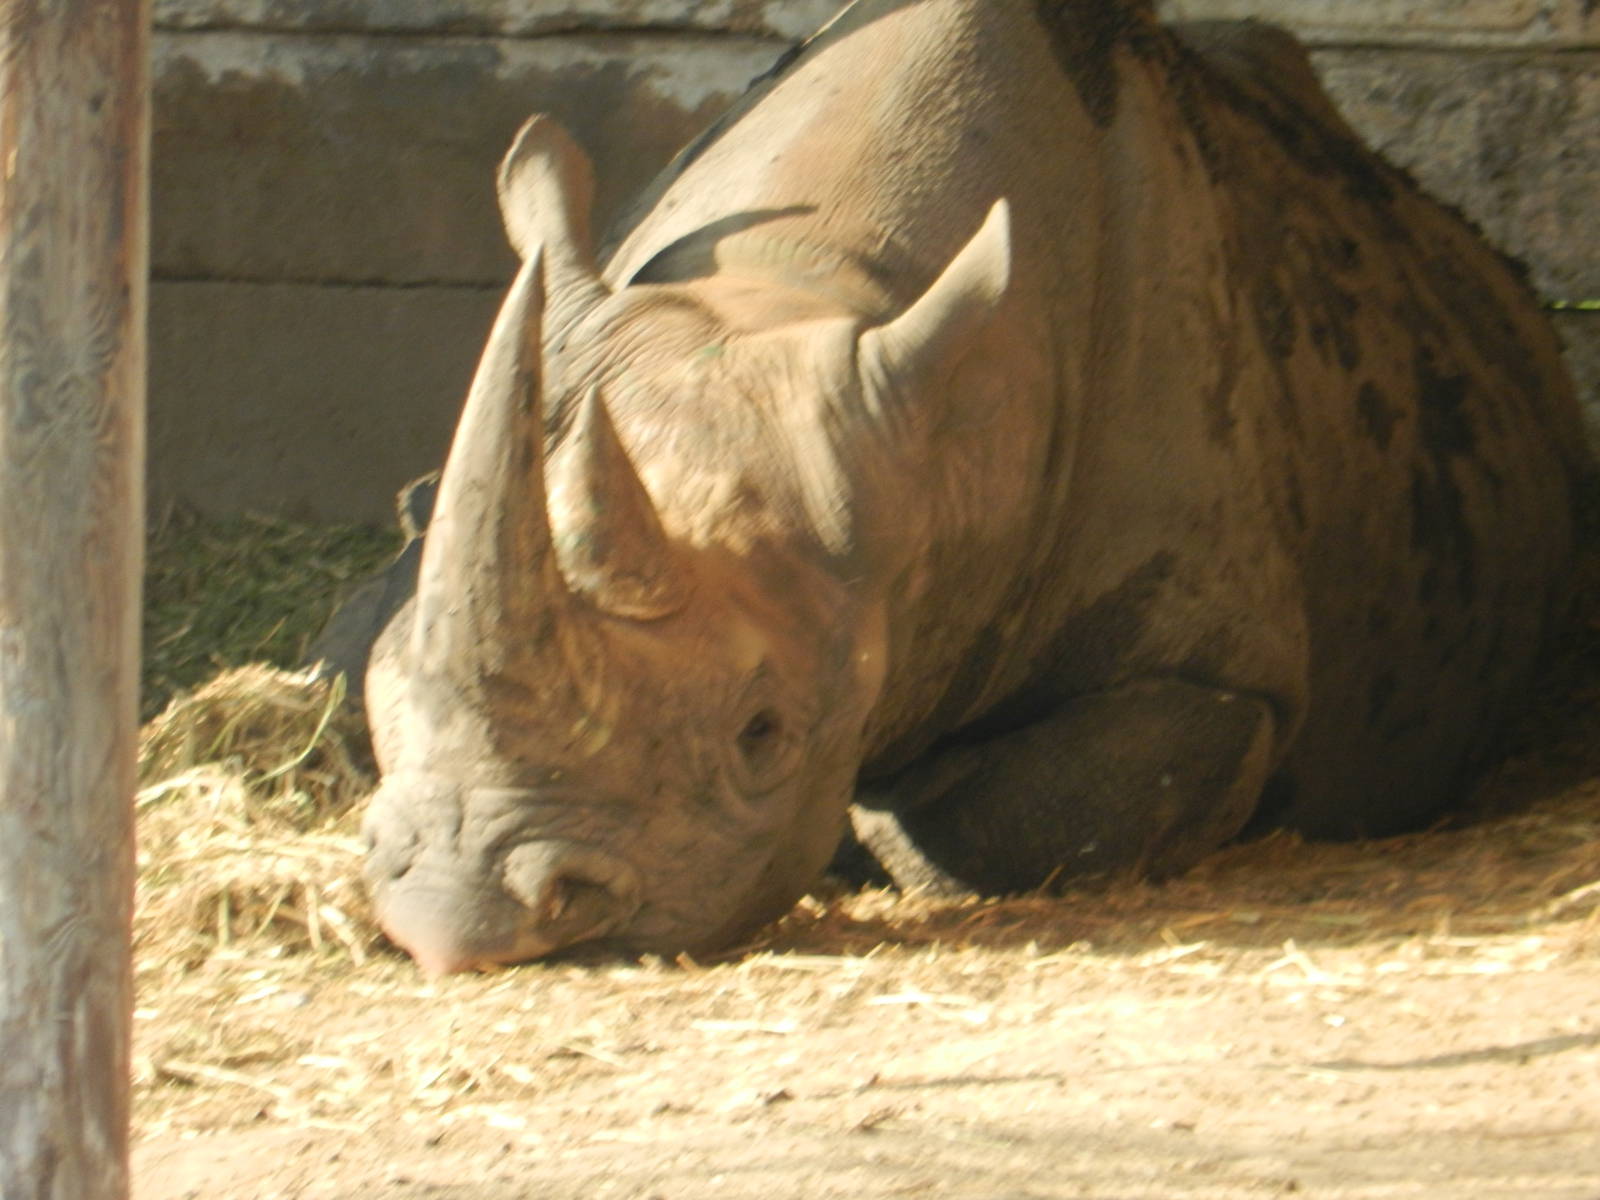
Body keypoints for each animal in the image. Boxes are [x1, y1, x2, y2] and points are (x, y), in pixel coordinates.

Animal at [357, 0, 1587, 974]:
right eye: (384, 679)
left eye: (764, 733)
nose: (458, 922)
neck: (806, 281)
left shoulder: (1226, 674)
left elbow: (998, 822)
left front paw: (871, 819)